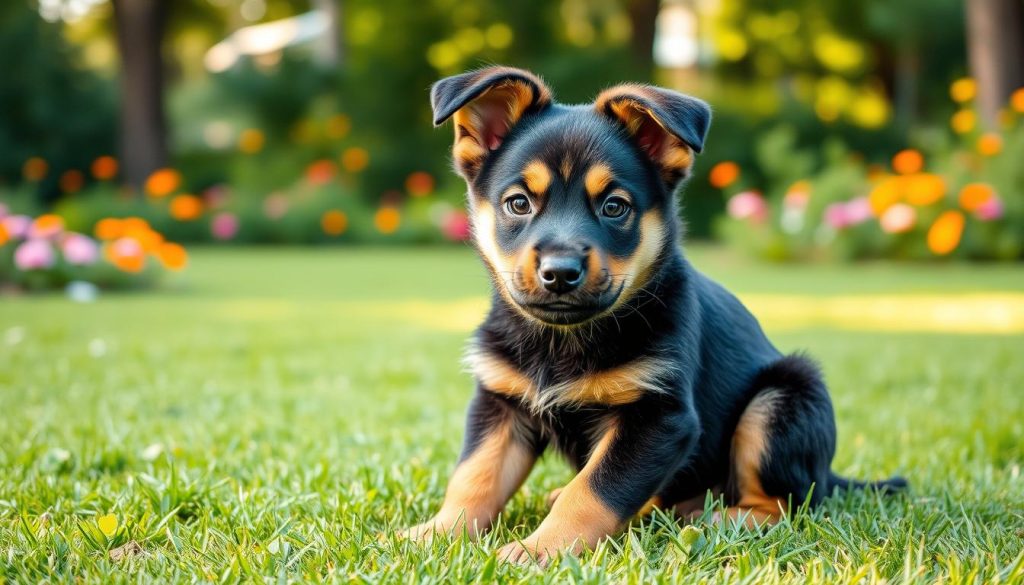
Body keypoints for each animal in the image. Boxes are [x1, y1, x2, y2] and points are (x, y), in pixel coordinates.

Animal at [399, 66, 905, 565]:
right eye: (518, 203)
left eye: (614, 206)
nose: (559, 273)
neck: (563, 340)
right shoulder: (501, 403)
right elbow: (474, 477)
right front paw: (433, 535)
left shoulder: (660, 417)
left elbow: (594, 491)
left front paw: (538, 550)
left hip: (783, 398)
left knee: (790, 501)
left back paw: (720, 518)